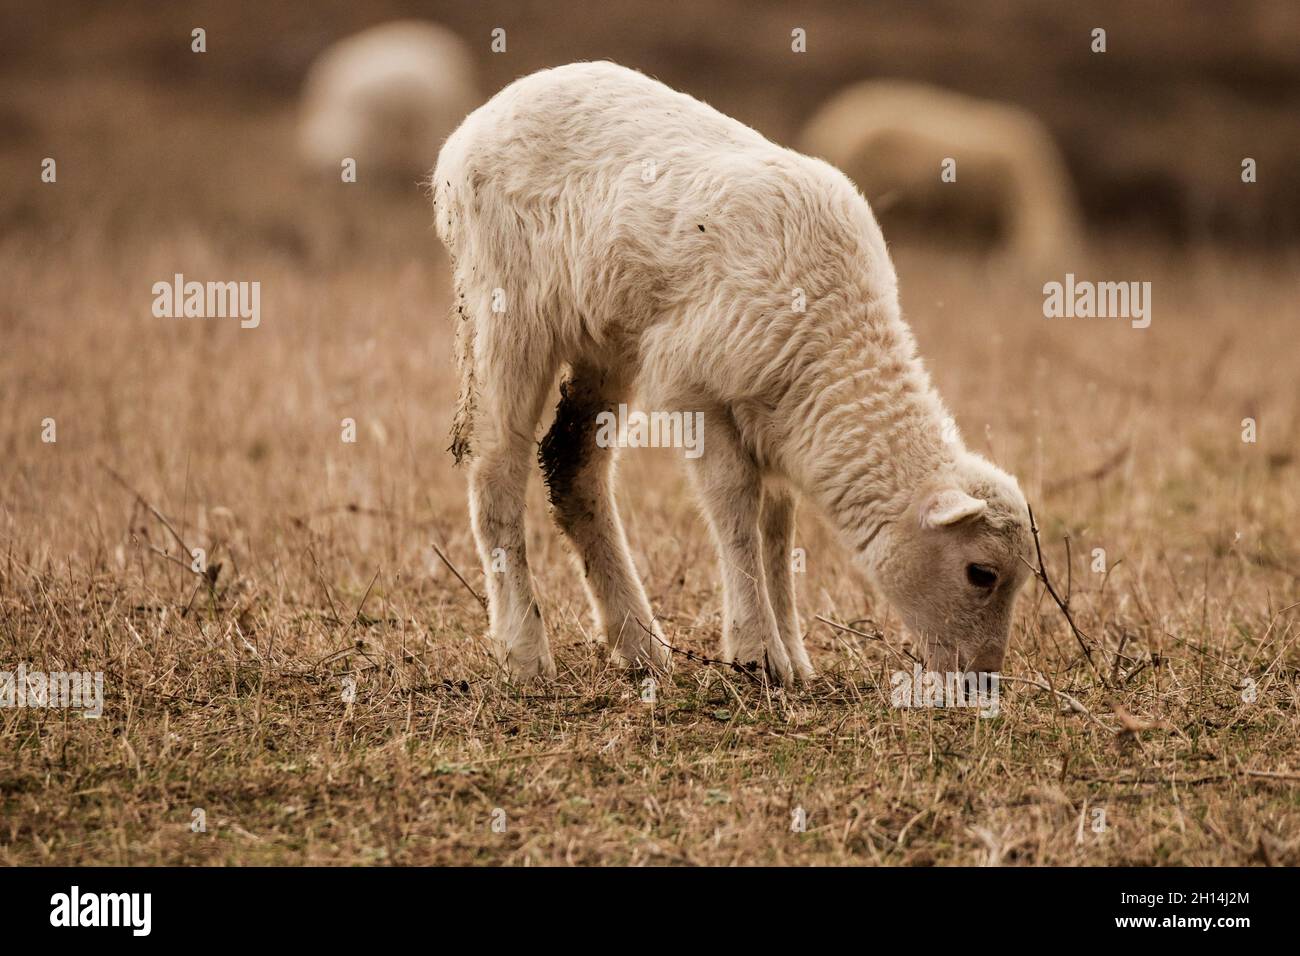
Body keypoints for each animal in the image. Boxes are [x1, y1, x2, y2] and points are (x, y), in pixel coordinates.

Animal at [431, 59, 1029, 686]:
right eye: (981, 573)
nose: (984, 677)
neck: (835, 332)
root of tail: (476, 122)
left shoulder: (779, 410)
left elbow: (777, 526)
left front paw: (793, 656)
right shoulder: (694, 387)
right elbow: (735, 506)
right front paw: (756, 653)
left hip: (606, 340)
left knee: (572, 466)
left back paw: (639, 644)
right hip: (507, 308)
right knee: (496, 467)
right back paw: (524, 651)